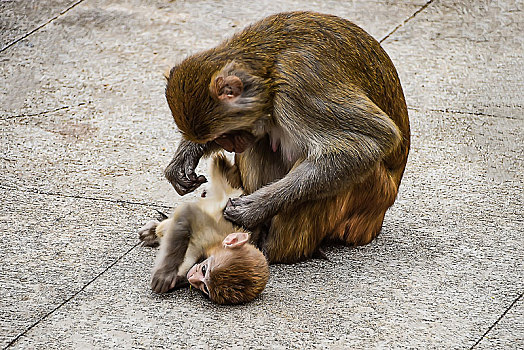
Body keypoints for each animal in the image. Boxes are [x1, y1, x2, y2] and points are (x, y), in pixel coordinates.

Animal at [138, 154, 268, 304]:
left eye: (205, 287)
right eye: (204, 269)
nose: (193, 279)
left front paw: (175, 280)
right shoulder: (209, 233)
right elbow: (188, 212)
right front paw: (165, 273)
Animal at [164, 10, 410, 262]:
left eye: (226, 134)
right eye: (219, 138)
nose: (233, 146)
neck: (268, 69)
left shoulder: (300, 84)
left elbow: (371, 140)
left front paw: (253, 208)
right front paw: (184, 159)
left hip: (372, 196)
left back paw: (272, 250)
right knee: (259, 144)